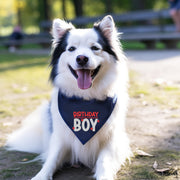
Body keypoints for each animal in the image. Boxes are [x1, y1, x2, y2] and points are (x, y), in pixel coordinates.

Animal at [6, 15, 131, 180]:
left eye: (95, 48)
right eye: (71, 49)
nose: (82, 58)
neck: (85, 98)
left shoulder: (111, 139)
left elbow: (104, 160)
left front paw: (104, 176)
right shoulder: (60, 136)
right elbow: (52, 159)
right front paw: (41, 175)